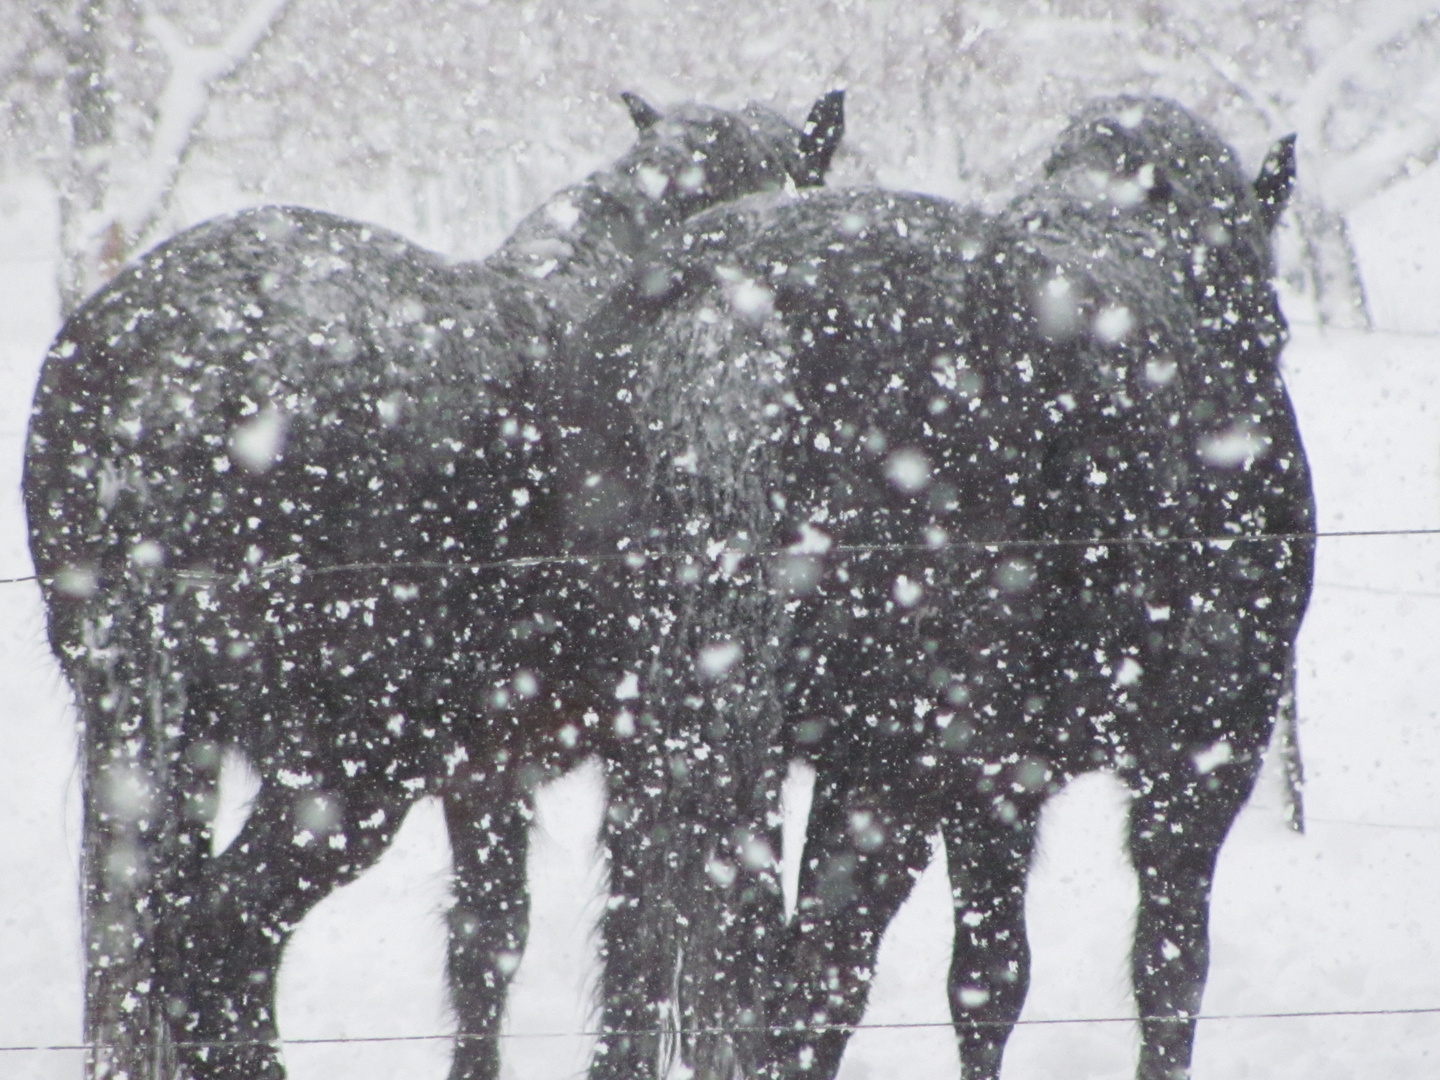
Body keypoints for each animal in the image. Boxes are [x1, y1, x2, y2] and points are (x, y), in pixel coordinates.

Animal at [22, 91, 840, 1080]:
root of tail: (167, 373)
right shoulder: (640, 754)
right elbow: (639, 951)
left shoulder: (487, 772)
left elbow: (490, 944)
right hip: (346, 772)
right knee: (223, 937)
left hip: (174, 742)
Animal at [567, 95, 1313, 1080]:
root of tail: (728, 310)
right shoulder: (1200, 756)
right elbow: (1161, 970)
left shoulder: (1000, 785)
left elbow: (990, 983)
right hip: (880, 782)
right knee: (812, 989)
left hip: (655, 753)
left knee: (641, 977)